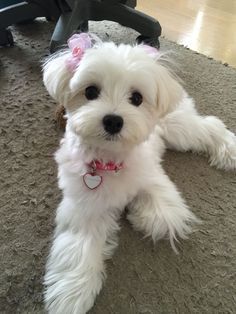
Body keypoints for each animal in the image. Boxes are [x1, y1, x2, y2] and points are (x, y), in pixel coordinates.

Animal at [42, 33, 236, 312]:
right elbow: (78, 247)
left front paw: (145, 214)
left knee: (210, 126)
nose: (113, 120)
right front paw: (72, 293)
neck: (110, 162)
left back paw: (228, 149)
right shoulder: (84, 206)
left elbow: (164, 214)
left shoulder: (151, 174)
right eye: (90, 92)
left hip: (177, 128)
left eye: (136, 98)